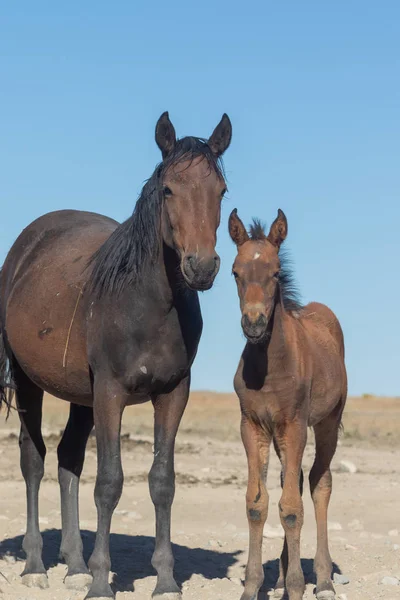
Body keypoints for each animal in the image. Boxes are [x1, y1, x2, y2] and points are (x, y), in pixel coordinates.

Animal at [0, 112, 231, 600]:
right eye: (169, 190)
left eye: (220, 191)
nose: (201, 267)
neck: (148, 305)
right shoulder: (110, 392)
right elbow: (109, 483)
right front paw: (102, 582)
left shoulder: (172, 393)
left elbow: (162, 482)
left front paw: (165, 580)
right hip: (31, 384)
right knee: (34, 461)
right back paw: (35, 565)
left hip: (80, 396)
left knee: (68, 459)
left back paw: (74, 566)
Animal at [228, 209, 346, 600]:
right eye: (235, 271)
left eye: (277, 272)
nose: (254, 324)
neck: (270, 365)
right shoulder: (253, 425)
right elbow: (258, 503)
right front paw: (253, 586)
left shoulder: (295, 425)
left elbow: (292, 509)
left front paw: (296, 586)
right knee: (288, 479)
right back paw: (279, 577)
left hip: (326, 423)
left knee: (319, 483)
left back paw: (322, 579)